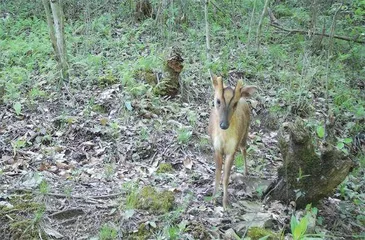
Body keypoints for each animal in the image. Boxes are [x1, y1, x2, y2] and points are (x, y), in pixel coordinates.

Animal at [208, 76, 256, 209]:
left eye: (235, 103)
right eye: (218, 101)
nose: (224, 125)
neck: (225, 138)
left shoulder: (231, 150)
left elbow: (226, 177)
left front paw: (225, 204)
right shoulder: (217, 148)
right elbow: (217, 173)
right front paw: (213, 199)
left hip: (245, 132)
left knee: (244, 150)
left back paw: (246, 171)